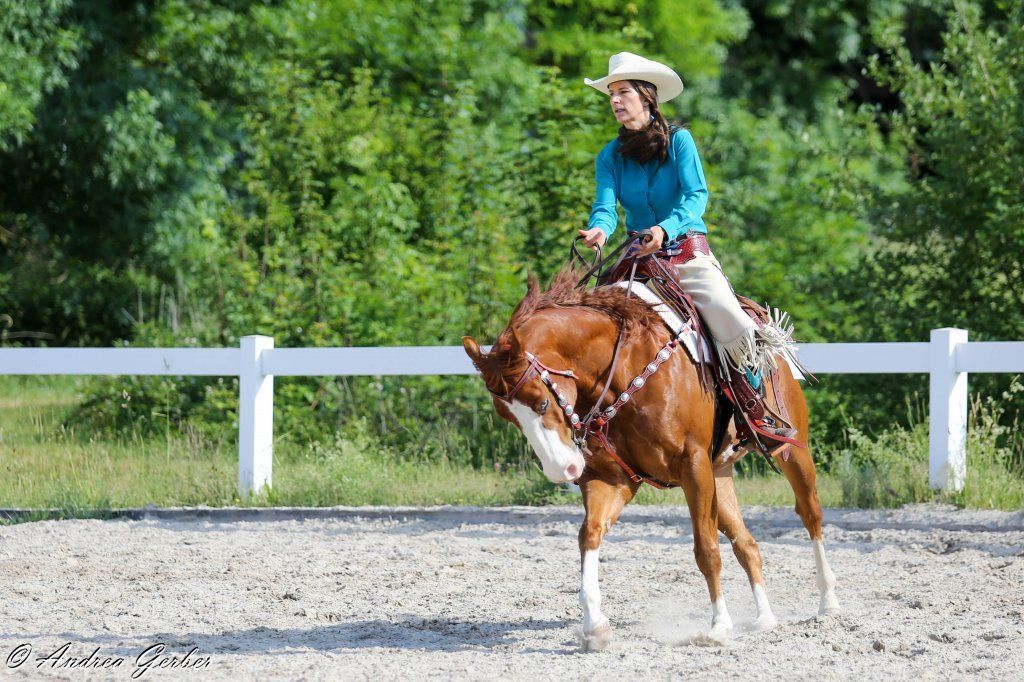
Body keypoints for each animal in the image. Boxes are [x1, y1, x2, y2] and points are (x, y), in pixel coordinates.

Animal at [461, 267, 840, 651]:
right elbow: (589, 534)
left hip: (793, 452)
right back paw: (764, 618)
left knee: (810, 515)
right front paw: (595, 625)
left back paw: (827, 603)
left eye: (540, 402)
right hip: (719, 475)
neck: (622, 371)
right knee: (746, 544)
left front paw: (719, 626)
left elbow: (706, 551)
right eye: (507, 416)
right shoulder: (611, 479)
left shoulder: (694, 468)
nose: (562, 470)